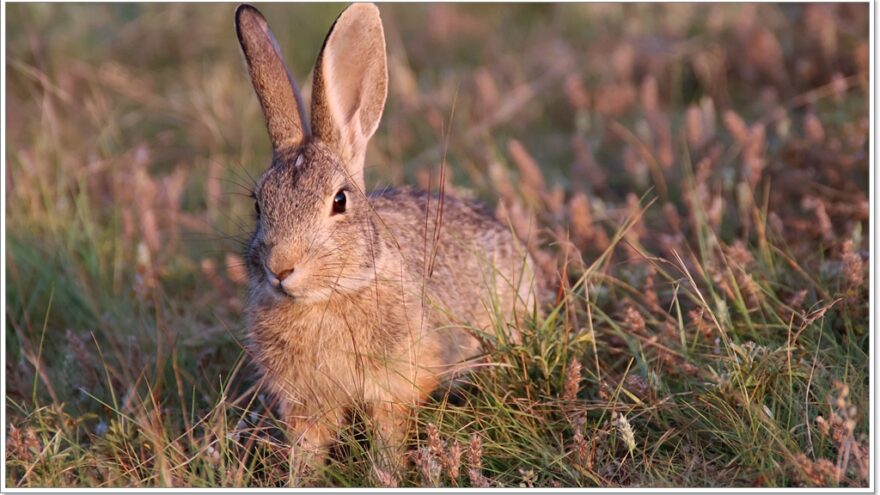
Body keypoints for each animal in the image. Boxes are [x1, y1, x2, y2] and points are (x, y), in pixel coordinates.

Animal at [237, 3, 548, 474]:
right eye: (259, 204)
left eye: (340, 201)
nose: (281, 268)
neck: (327, 298)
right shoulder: (305, 403)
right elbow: (307, 449)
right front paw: (300, 480)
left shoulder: (397, 383)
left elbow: (388, 438)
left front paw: (385, 475)